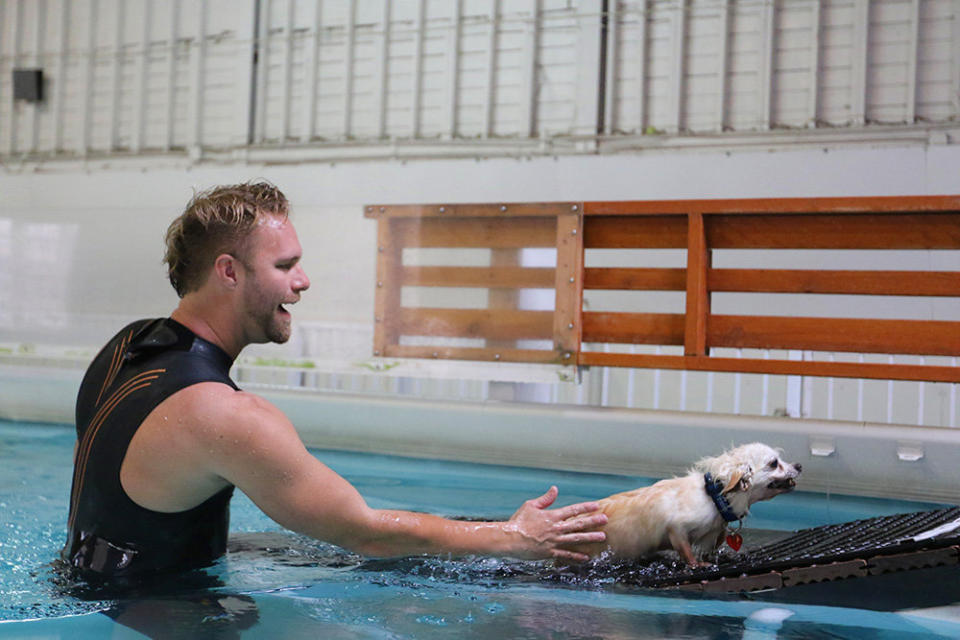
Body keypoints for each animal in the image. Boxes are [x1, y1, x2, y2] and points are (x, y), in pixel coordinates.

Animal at [568, 444, 800, 564]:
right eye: (774, 463)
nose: (799, 465)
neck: (713, 496)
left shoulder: (712, 533)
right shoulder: (676, 527)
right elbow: (686, 550)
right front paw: (696, 564)